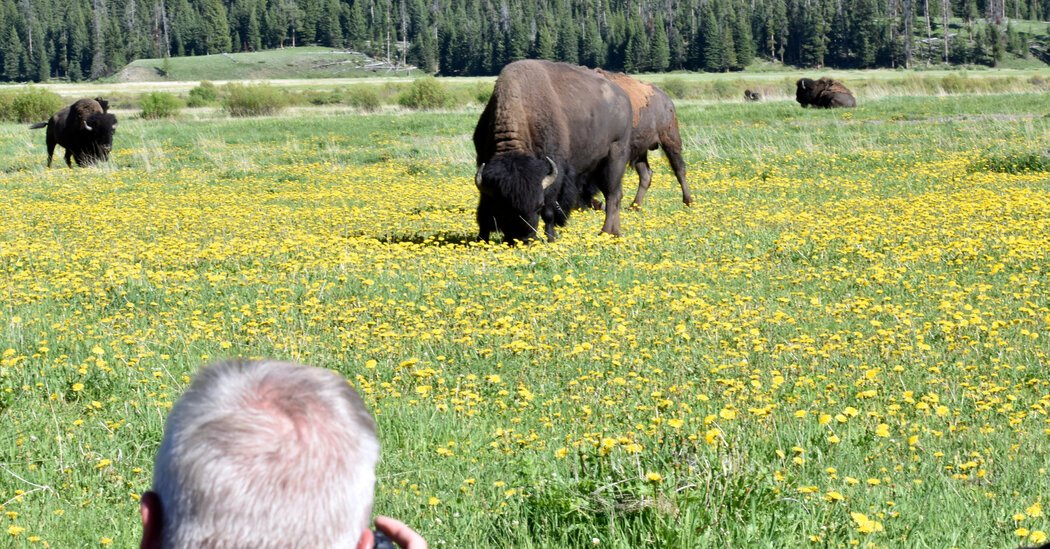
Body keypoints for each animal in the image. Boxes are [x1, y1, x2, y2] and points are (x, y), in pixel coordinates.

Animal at [473, 59, 633, 242]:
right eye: (505, 208)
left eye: (539, 205)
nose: (525, 238)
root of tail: (624, 97)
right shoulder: (484, 168)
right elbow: (483, 210)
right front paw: (481, 239)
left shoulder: (553, 173)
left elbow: (549, 211)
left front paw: (551, 237)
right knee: (615, 194)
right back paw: (614, 232)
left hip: (615, 157)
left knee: (612, 195)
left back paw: (606, 232)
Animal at [594, 70, 691, 209]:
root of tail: (667, 100)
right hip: (640, 150)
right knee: (646, 174)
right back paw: (634, 206)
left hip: (670, 140)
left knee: (679, 169)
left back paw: (688, 201)